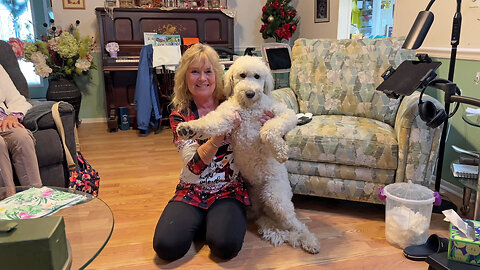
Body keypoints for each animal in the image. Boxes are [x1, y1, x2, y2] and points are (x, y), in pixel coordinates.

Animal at [176, 54, 318, 253]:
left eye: (257, 76)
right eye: (242, 75)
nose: (250, 93)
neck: (249, 107)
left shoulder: (283, 114)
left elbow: (268, 129)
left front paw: (280, 150)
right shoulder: (226, 116)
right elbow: (208, 122)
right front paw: (188, 128)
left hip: (276, 197)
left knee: (297, 225)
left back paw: (309, 241)